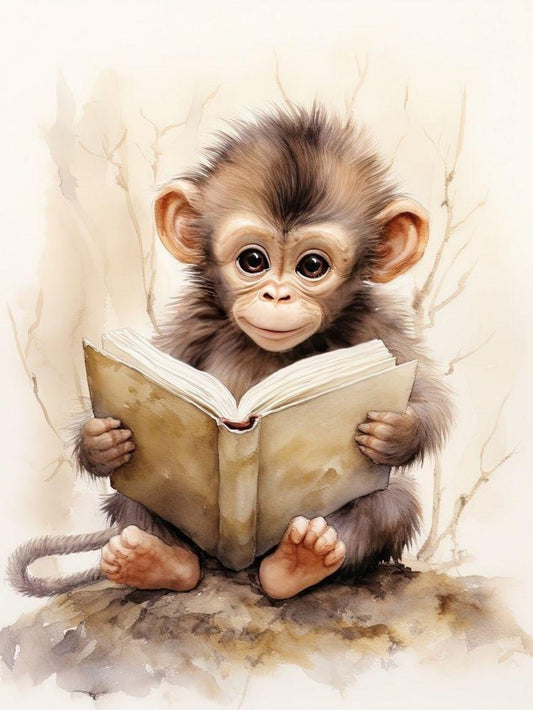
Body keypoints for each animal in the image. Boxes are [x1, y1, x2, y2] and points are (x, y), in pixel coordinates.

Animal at [8, 104, 452, 600]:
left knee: (391, 503)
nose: (276, 296)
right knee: (136, 501)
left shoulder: (377, 327)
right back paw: (157, 561)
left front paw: (394, 432)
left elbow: (428, 395)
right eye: (253, 261)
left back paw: (298, 562)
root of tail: (238, 563)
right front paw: (101, 440)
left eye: (312, 266)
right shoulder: (193, 323)